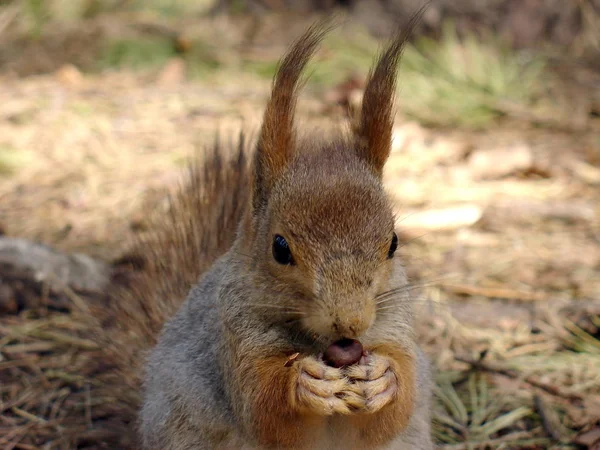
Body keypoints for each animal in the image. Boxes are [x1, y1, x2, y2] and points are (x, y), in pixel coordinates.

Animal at [101, 9, 434, 450]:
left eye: (393, 243)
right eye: (280, 248)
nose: (350, 321)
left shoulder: (395, 325)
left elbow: (391, 413)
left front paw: (384, 379)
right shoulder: (235, 334)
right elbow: (263, 407)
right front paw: (304, 382)